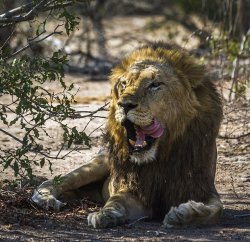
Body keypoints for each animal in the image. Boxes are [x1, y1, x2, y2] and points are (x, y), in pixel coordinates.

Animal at [31, 42, 223, 229]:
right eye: (123, 84)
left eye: (155, 84)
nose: (124, 104)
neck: (162, 156)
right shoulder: (135, 189)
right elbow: (116, 200)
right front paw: (105, 214)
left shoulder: (200, 187)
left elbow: (216, 209)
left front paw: (185, 214)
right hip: (98, 164)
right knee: (55, 182)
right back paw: (46, 199)